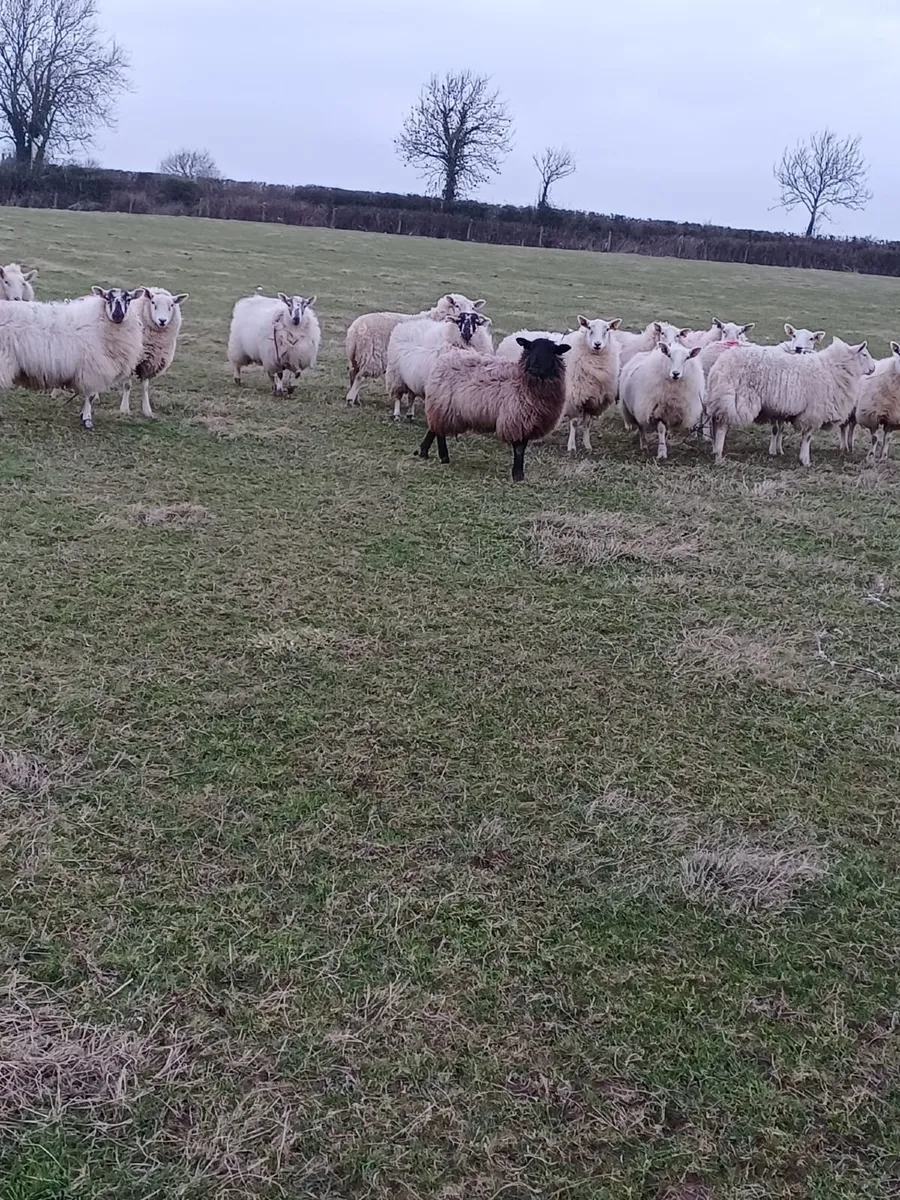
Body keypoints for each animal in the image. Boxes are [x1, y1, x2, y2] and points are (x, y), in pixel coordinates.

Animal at [0, 287, 145, 428]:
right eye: (107, 298)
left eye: (128, 299)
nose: (118, 315)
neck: (100, 324)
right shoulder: (92, 370)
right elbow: (90, 396)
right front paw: (87, 419)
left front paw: (84, 416)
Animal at [119, 287, 188, 418]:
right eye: (153, 303)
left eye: (171, 305)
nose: (162, 320)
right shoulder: (130, 359)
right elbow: (127, 385)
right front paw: (124, 409)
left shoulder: (149, 362)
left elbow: (145, 387)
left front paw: (147, 410)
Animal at [345, 293, 485, 407]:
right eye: (456, 305)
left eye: (473, 307)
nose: (470, 316)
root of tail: (355, 330)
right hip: (371, 356)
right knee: (359, 377)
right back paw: (351, 400)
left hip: (356, 357)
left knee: (353, 375)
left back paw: (356, 399)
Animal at [418, 336, 571, 482]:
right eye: (530, 348)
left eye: (551, 351)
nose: (533, 368)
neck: (522, 380)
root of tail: (444, 358)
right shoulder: (516, 418)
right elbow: (519, 449)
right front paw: (518, 475)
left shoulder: (527, 421)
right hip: (442, 405)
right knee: (438, 432)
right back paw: (441, 456)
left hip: (442, 407)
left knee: (435, 429)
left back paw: (427, 452)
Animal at [707, 337, 875, 467]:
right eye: (864, 354)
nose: (873, 368)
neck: (834, 370)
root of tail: (721, 364)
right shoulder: (813, 413)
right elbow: (807, 437)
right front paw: (805, 460)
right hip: (734, 399)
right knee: (722, 426)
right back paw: (719, 455)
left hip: (720, 397)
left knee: (715, 421)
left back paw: (714, 448)